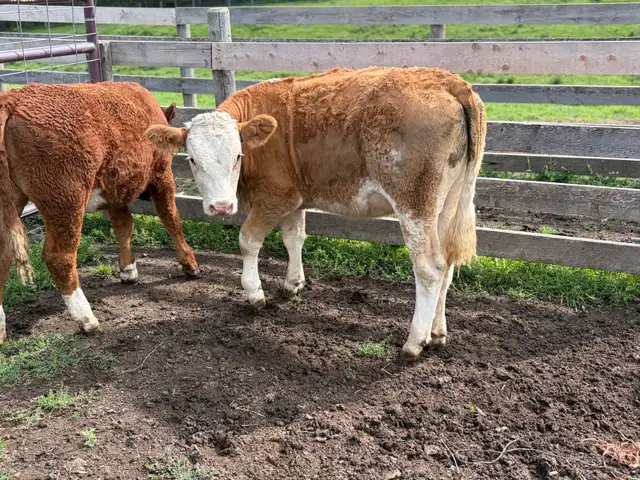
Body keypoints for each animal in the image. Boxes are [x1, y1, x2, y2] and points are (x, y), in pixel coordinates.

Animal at [0, 82, 200, 344]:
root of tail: (12, 101)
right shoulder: (162, 175)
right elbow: (171, 219)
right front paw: (189, 263)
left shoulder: (114, 190)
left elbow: (124, 227)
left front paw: (128, 270)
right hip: (66, 201)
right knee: (60, 257)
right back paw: (87, 319)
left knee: (3, 254)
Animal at [147, 67, 486, 359]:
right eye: (192, 158)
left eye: (238, 156)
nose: (220, 206)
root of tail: (450, 82)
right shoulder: (293, 200)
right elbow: (294, 238)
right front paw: (293, 284)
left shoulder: (274, 198)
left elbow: (248, 242)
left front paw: (255, 294)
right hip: (447, 204)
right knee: (447, 265)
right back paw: (437, 333)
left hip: (414, 204)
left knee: (429, 269)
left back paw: (414, 342)